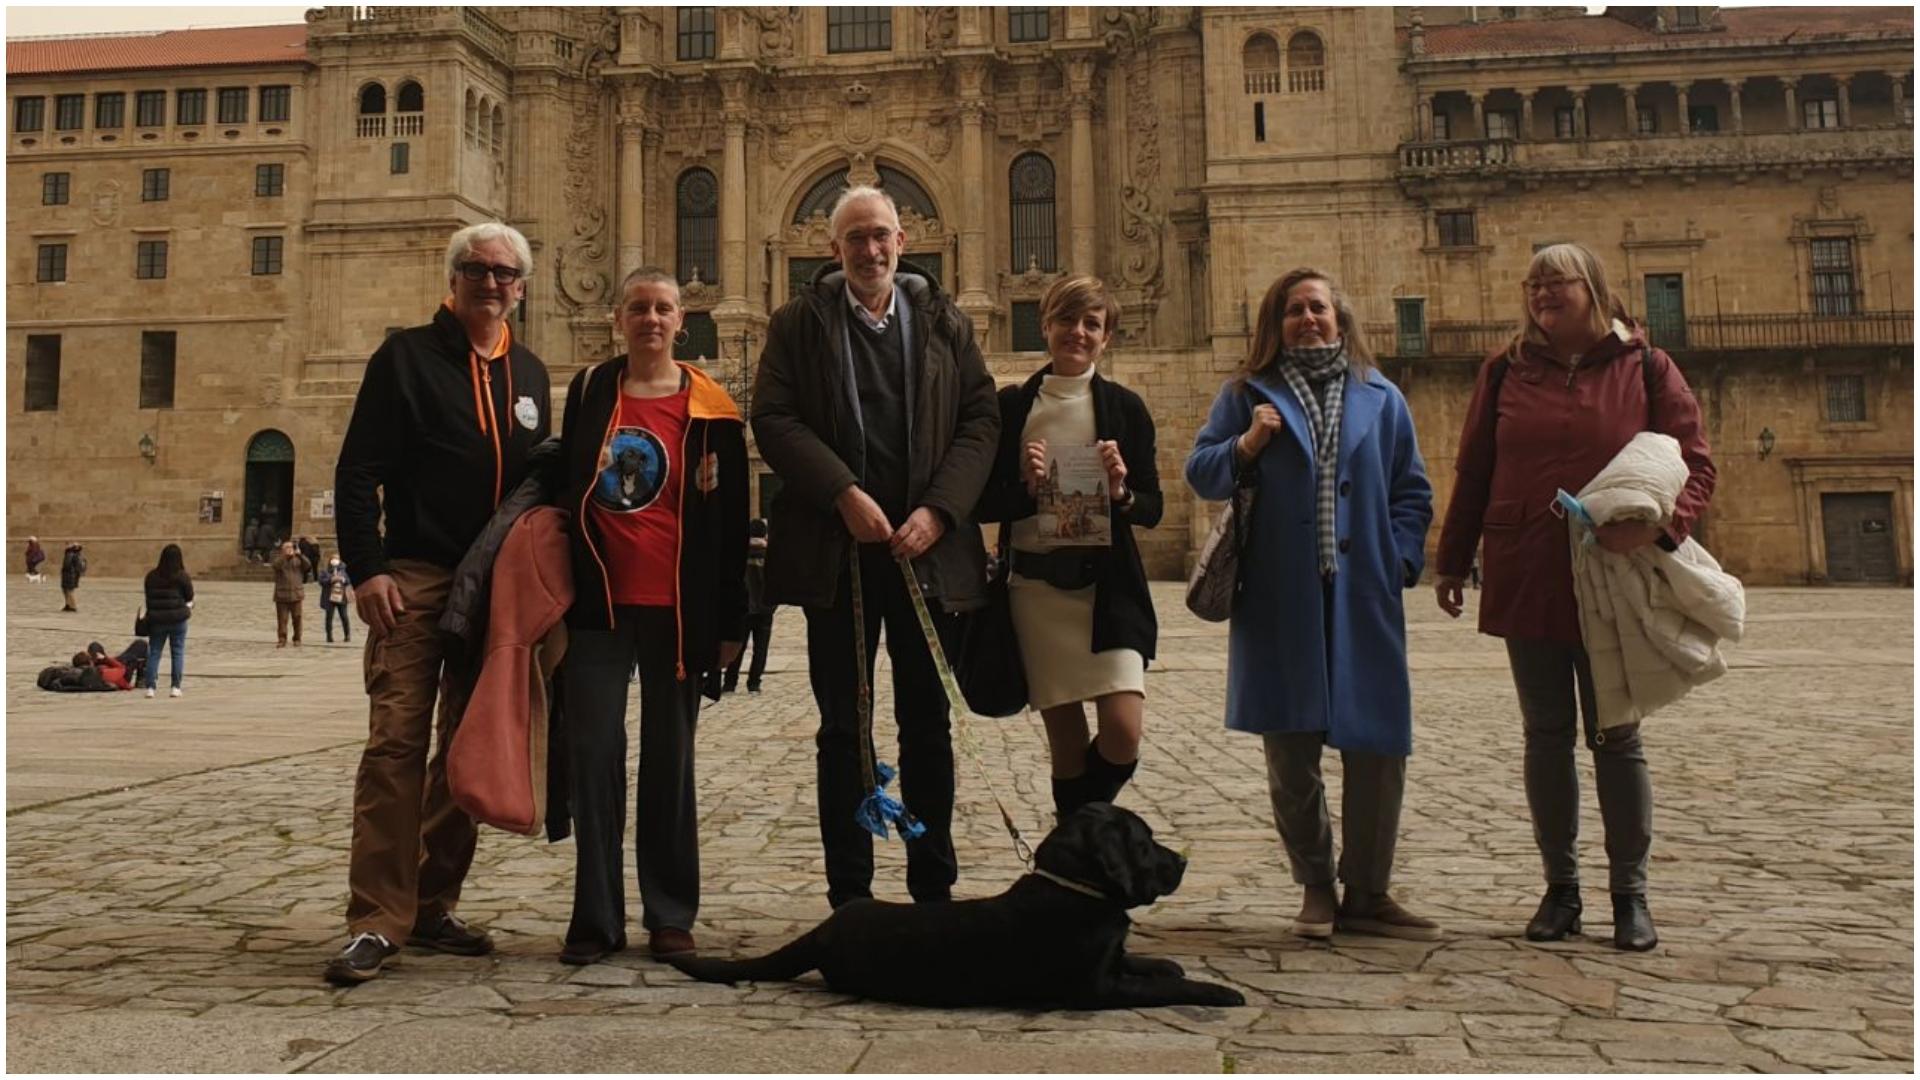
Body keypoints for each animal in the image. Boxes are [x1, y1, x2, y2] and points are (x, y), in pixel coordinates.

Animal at [664, 799, 1244, 1006]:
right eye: (1144, 842)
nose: (1183, 861)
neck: (1072, 889)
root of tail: (827, 928)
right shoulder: (1095, 988)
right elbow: (1163, 988)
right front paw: (1217, 990)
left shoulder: (1112, 962)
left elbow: (1146, 963)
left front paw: (1165, 961)